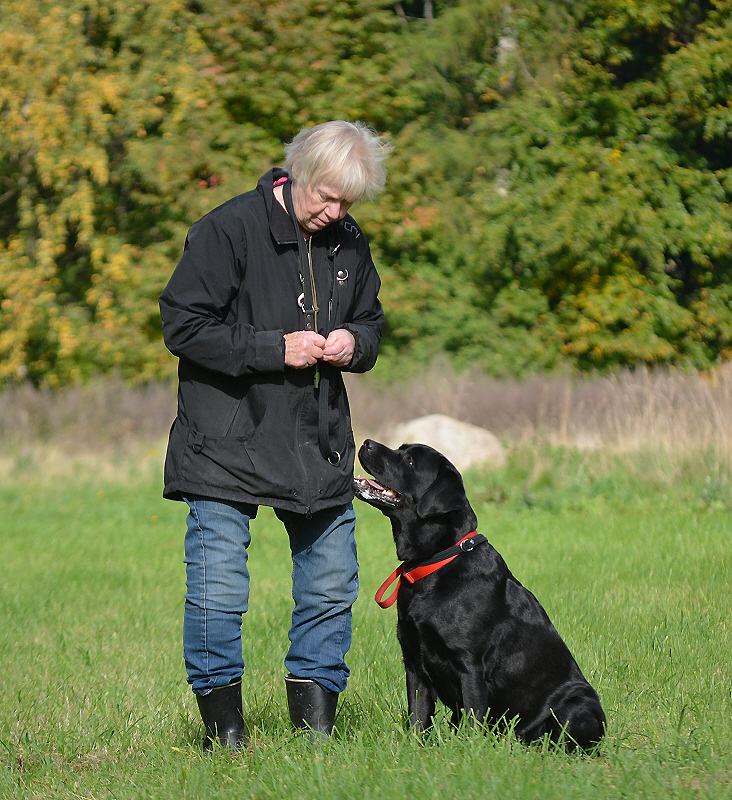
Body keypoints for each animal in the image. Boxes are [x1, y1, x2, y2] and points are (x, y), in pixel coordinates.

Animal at [354, 440, 608, 752]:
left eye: (410, 461)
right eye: (400, 448)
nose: (367, 443)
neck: (437, 561)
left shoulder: (470, 665)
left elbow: (474, 717)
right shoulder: (413, 663)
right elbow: (418, 717)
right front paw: (414, 749)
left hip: (577, 703)